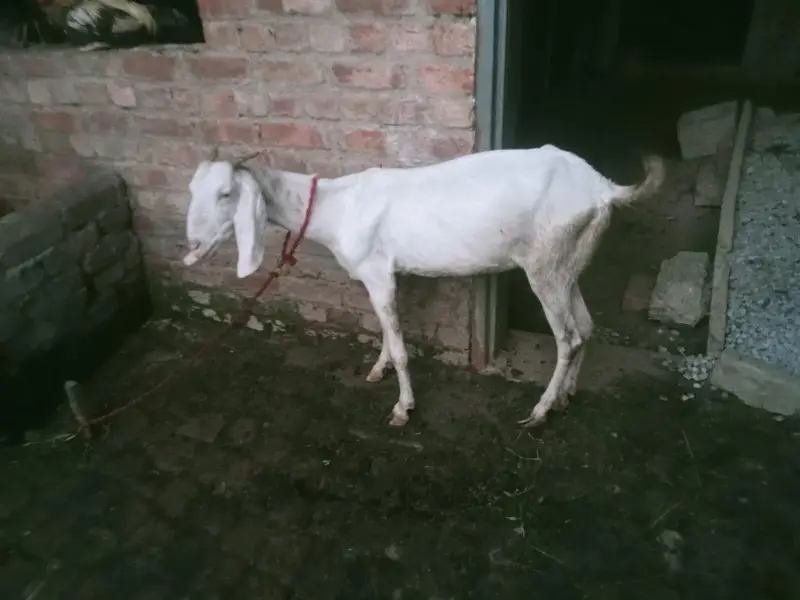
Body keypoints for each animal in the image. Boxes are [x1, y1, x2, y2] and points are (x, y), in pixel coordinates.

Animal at [182, 145, 665, 428]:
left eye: (226, 194)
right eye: (193, 190)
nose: (193, 244)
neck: (338, 207)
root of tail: (603, 190)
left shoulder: (377, 273)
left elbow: (400, 345)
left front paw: (402, 408)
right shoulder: (387, 275)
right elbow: (386, 330)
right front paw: (377, 370)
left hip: (545, 262)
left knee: (567, 337)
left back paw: (540, 411)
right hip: (570, 261)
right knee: (586, 326)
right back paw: (566, 396)